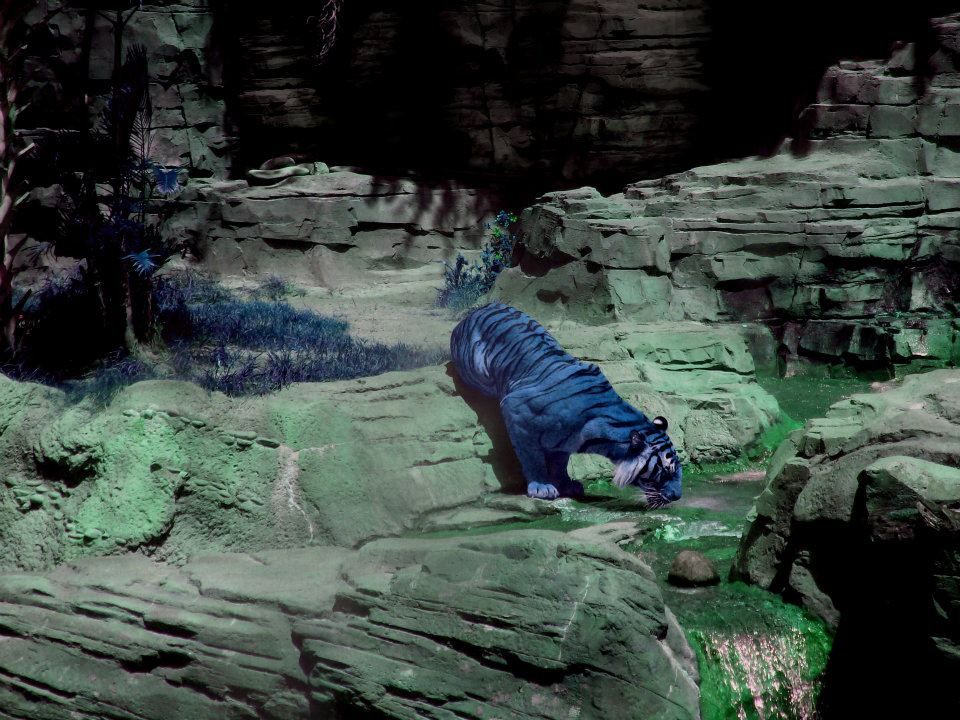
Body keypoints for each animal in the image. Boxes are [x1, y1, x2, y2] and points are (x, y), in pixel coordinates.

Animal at [450, 302, 682, 506]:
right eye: (665, 471)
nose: (678, 496)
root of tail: (476, 310)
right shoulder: (516, 410)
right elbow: (531, 456)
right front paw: (542, 486)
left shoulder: (563, 442)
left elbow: (559, 463)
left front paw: (565, 484)